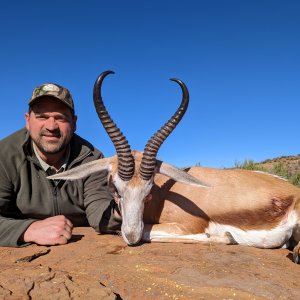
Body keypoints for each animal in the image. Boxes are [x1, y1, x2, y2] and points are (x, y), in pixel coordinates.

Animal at [49, 70, 300, 262]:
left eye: (148, 192)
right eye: (116, 189)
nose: (131, 237)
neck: (163, 196)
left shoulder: (190, 225)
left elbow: (150, 232)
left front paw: (223, 237)